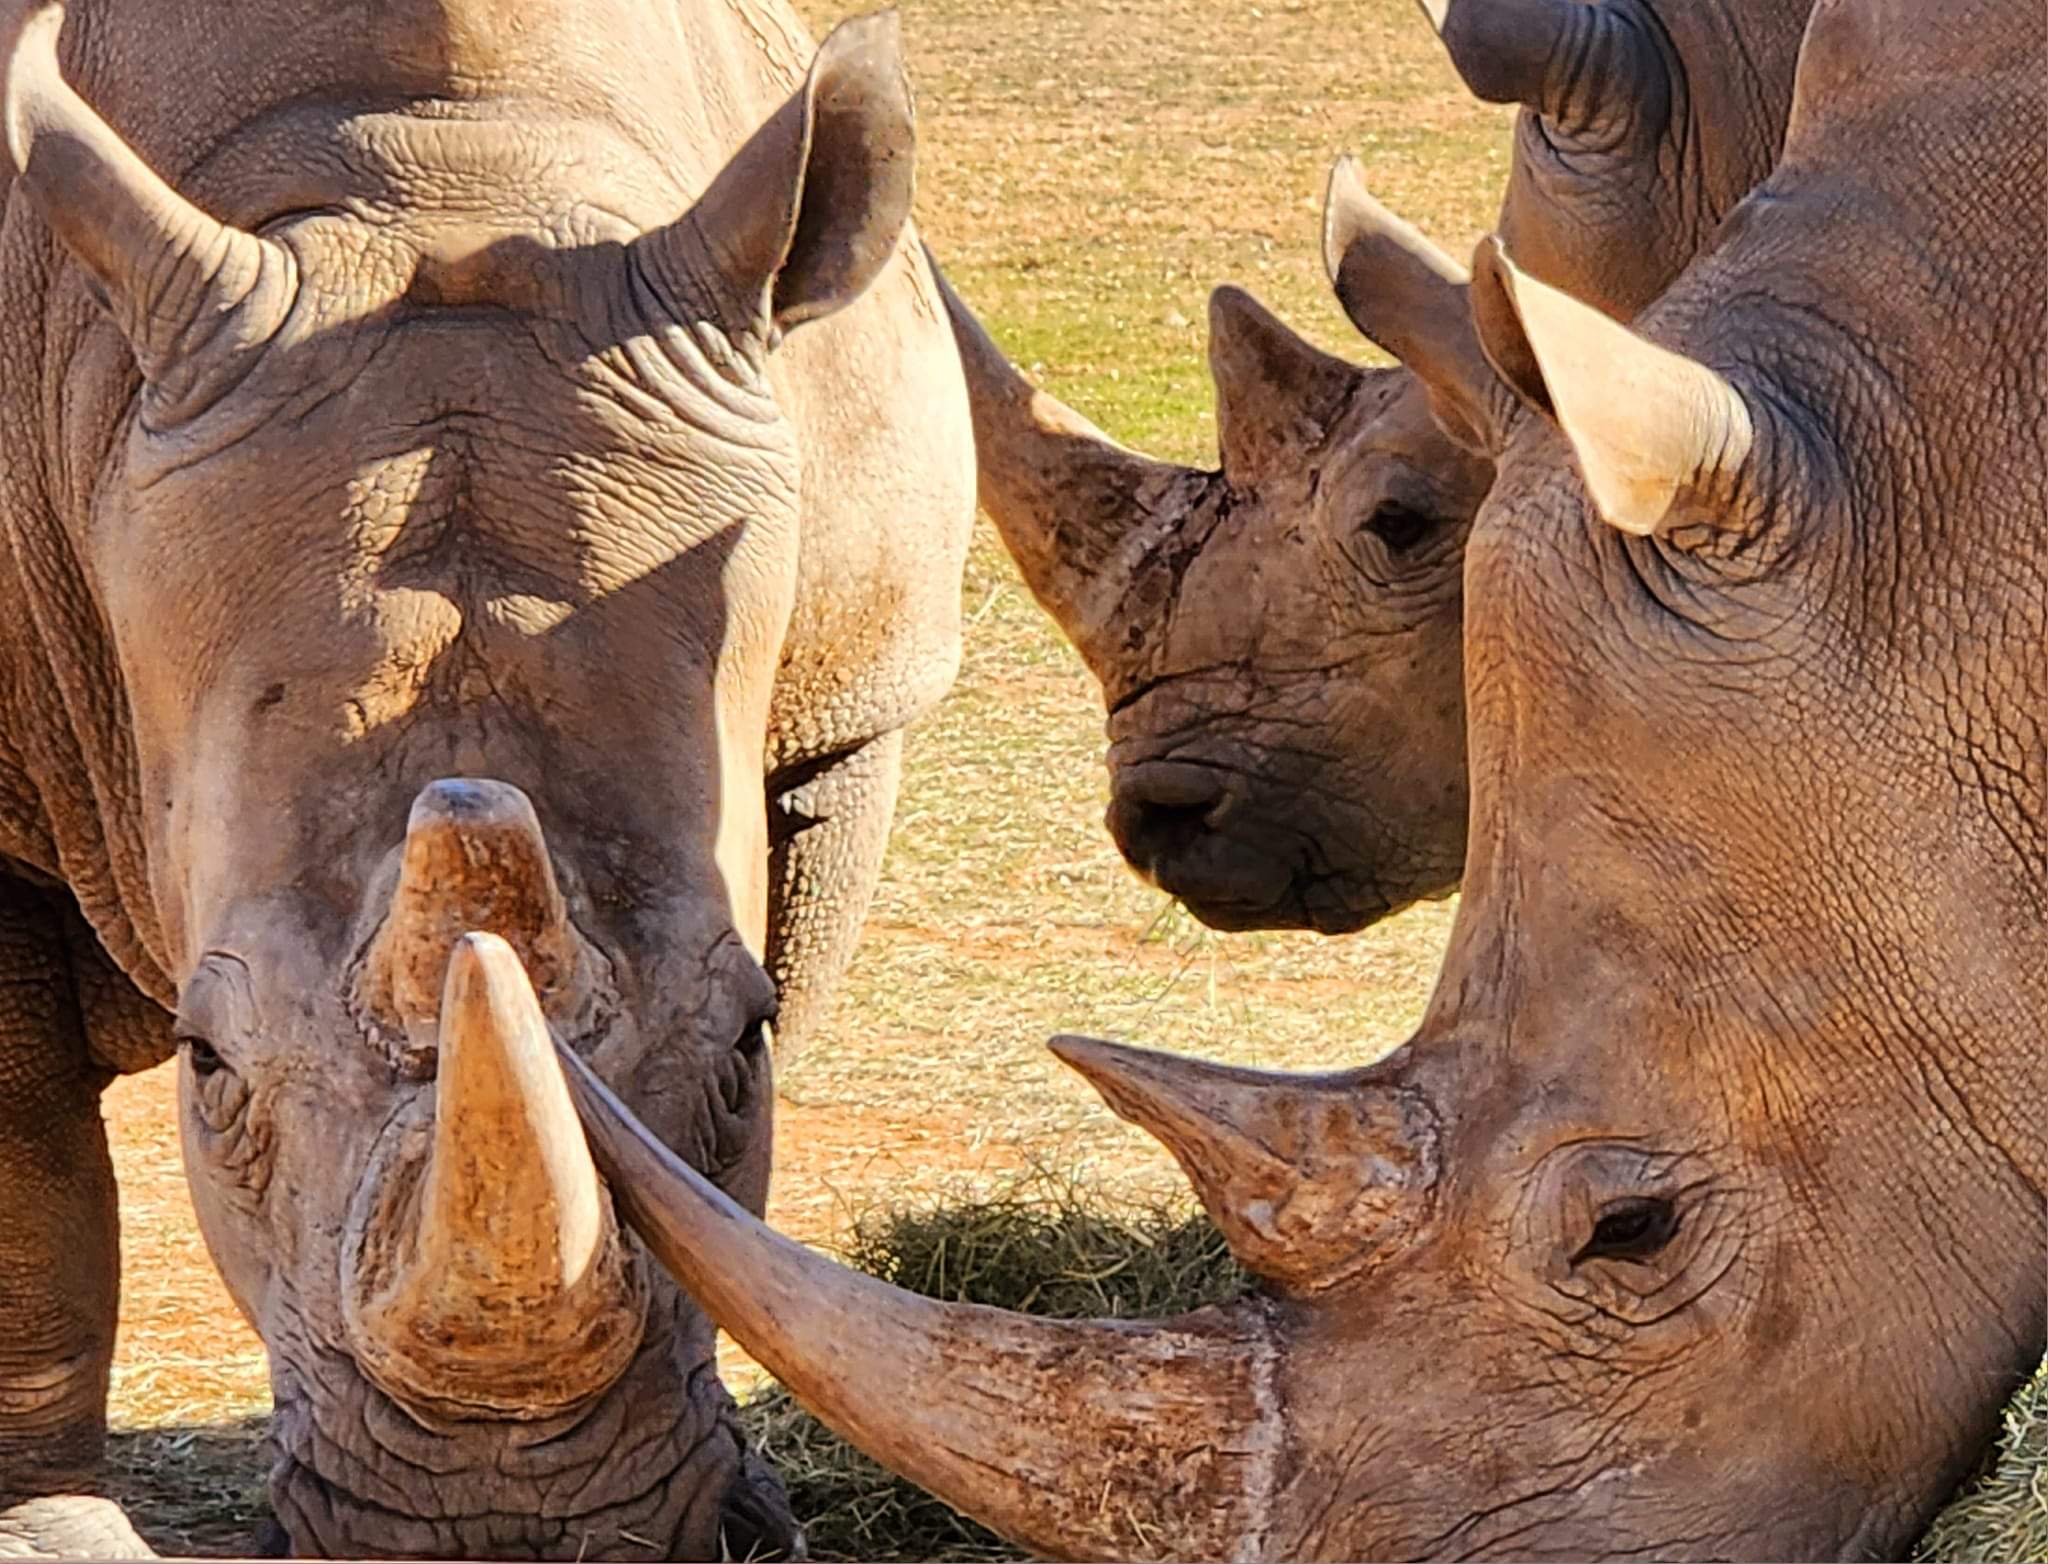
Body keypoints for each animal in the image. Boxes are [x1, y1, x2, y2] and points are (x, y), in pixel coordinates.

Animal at [0, 0, 974, 1555]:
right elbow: (31, 1181)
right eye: (209, 1063)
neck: (450, 176)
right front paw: (50, 1524)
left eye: (748, 1043)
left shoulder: (850, 707)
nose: (505, 1527)